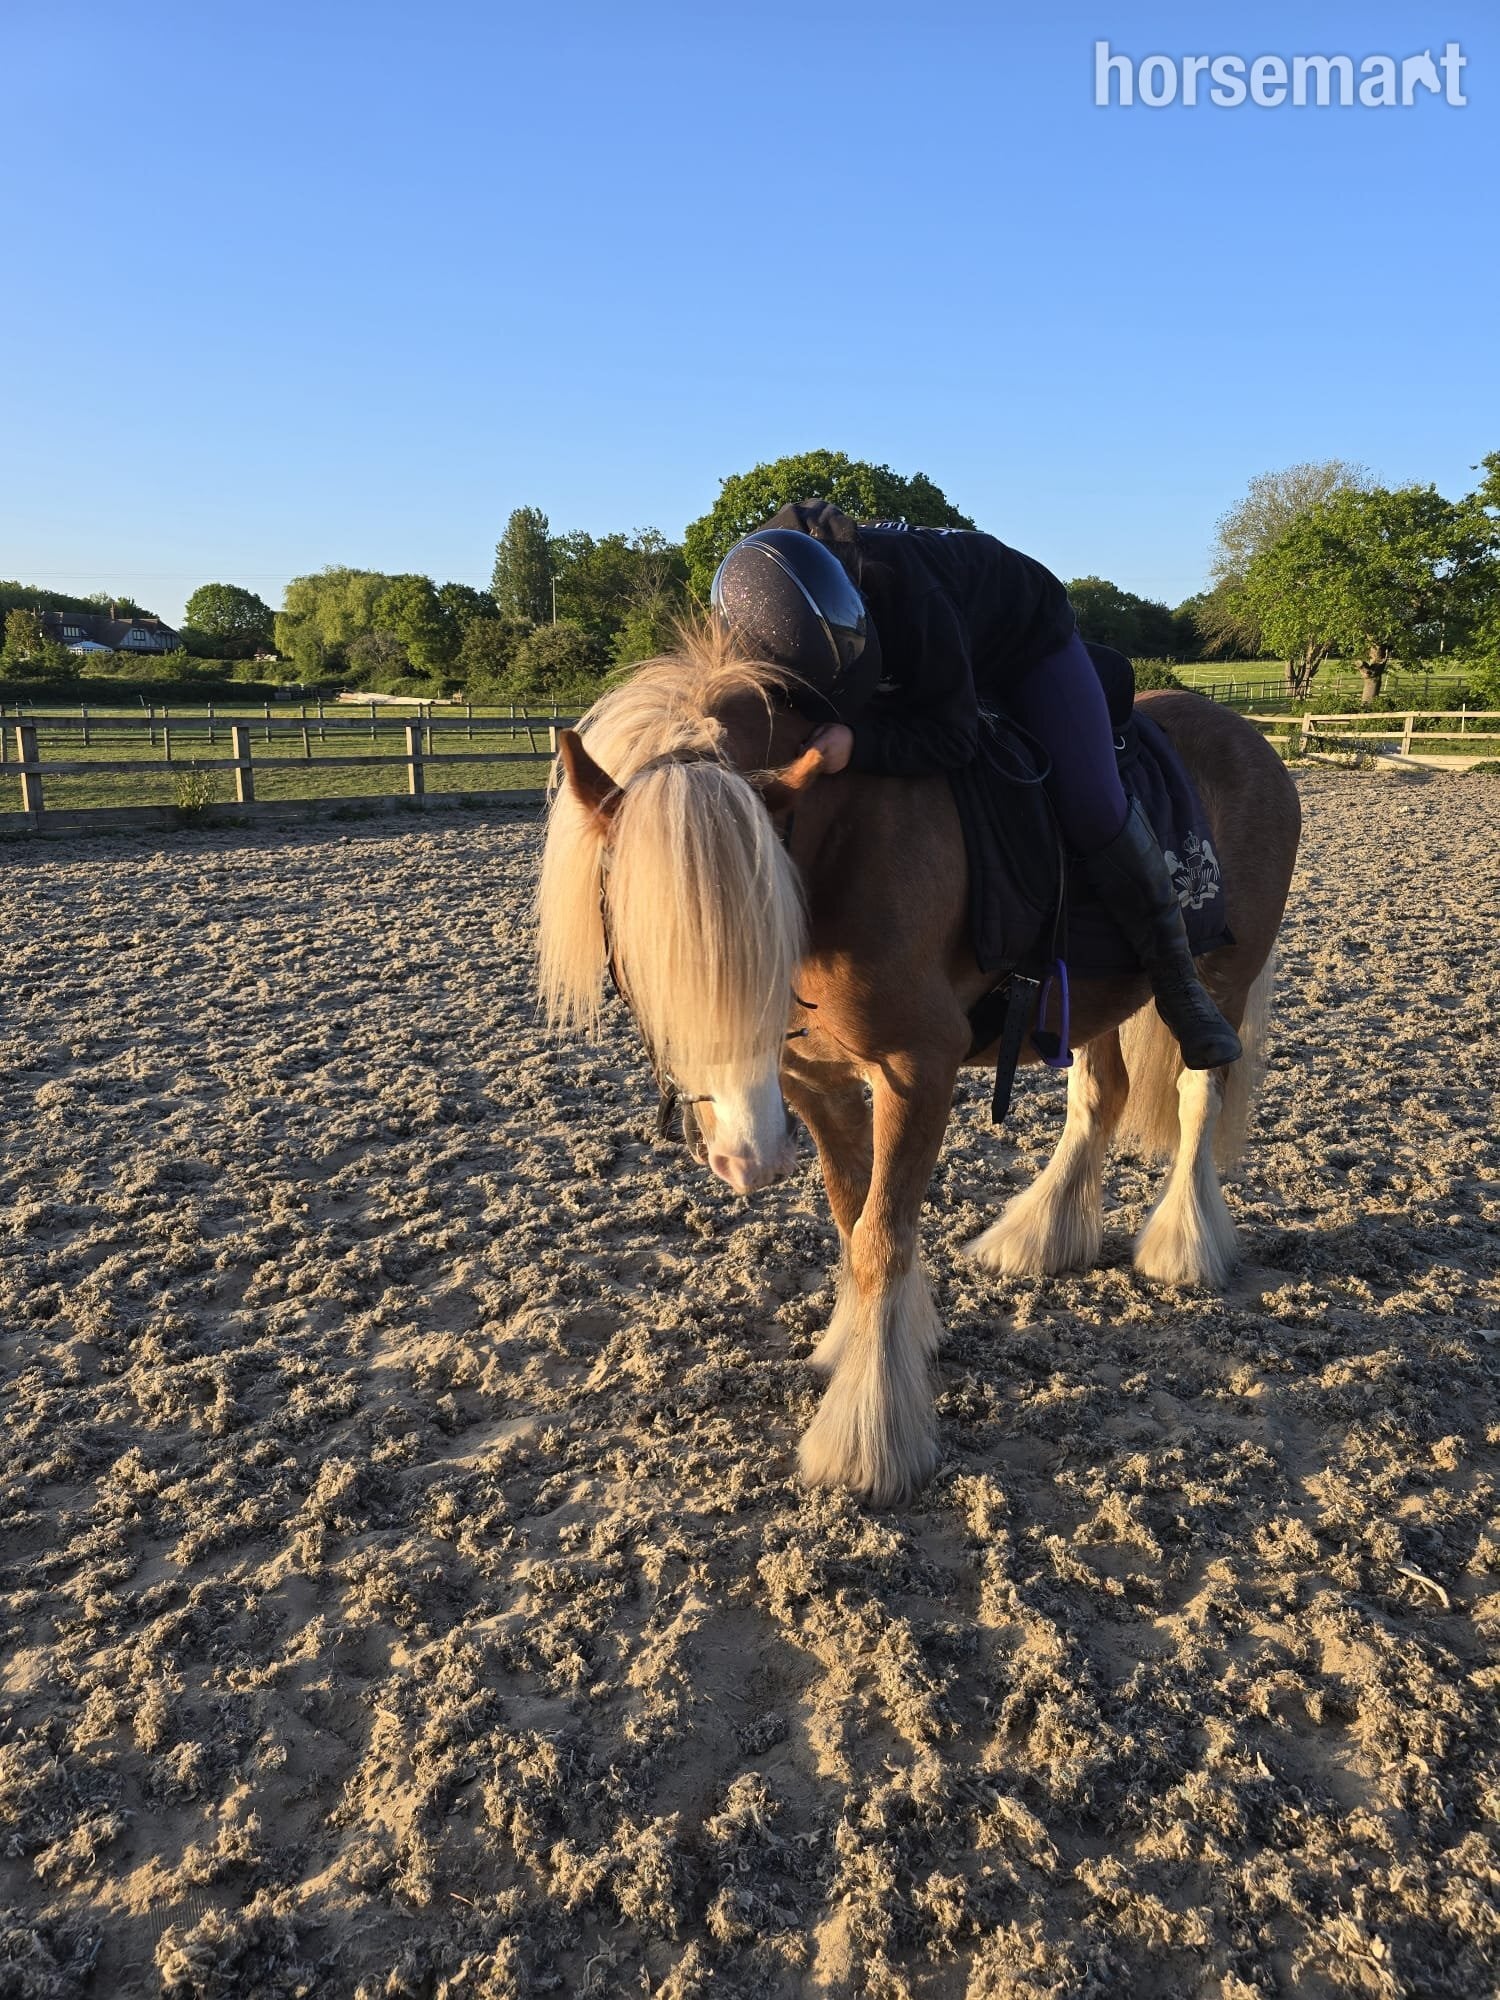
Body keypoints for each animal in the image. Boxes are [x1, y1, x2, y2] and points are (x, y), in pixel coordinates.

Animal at [537, 625, 1301, 1507]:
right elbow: (851, 1215)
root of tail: (1250, 737)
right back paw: (1041, 1234)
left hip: (1221, 979)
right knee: (1101, 1096)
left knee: (1194, 1099)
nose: (745, 1158)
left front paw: (867, 1436)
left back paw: (1183, 1245)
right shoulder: (816, 1085)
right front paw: (865, 1344)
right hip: (1093, 994)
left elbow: (881, 1237)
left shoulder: (918, 1070)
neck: (835, 841)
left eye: (763, 929)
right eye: (638, 948)